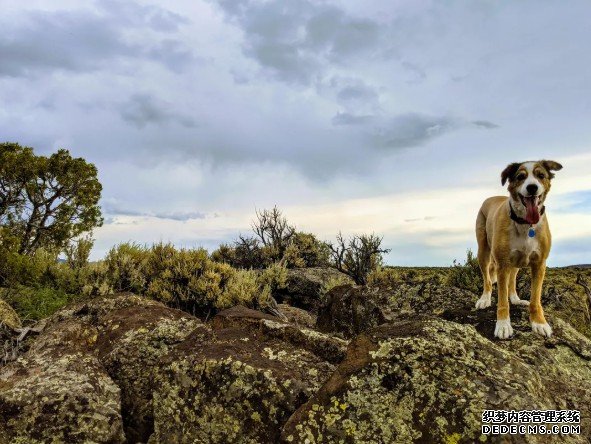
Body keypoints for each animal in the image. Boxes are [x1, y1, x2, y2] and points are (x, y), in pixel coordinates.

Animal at [476, 161, 564, 338]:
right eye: (520, 177)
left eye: (541, 175)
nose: (532, 187)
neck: (525, 223)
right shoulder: (502, 264)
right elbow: (502, 300)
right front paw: (503, 325)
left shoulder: (539, 264)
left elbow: (535, 299)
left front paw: (539, 323)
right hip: (483, 252)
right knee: (487, 279)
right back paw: (485, 299)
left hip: (517, 261)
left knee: (512, 282)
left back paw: (516, 299)